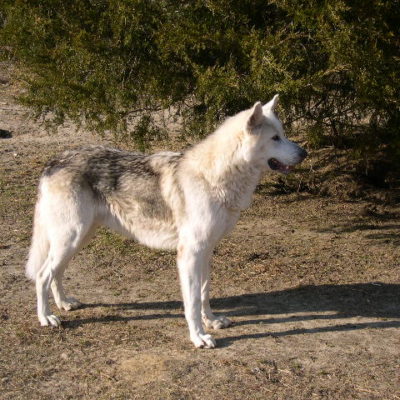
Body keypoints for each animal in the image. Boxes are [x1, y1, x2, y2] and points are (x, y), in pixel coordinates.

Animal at [26, 95, 308, 348]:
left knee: (56, 273)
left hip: (77, 240)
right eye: (275, 138)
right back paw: (46, 317)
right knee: (42, 275)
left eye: (283, 134)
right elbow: (191, 303)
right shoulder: (189, 255)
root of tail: (54, 161)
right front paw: (199, 337)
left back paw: (64, 303)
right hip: (71, 238)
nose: (304, 152)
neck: (215, 178)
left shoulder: (206, 252)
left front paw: (212, 321)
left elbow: (204, 293)